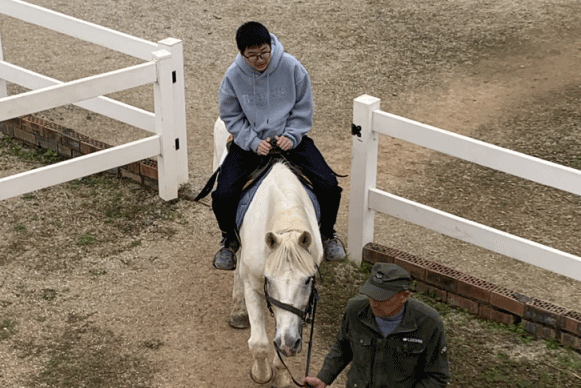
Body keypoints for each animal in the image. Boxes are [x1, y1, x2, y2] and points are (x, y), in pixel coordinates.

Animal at [213, 119, 324, 388]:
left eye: (308, 280)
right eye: (269, 280)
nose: (288, 344)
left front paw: (281, 376)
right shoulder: (255, 284)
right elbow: (260, 344)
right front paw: (261, 375)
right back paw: (239, 311)